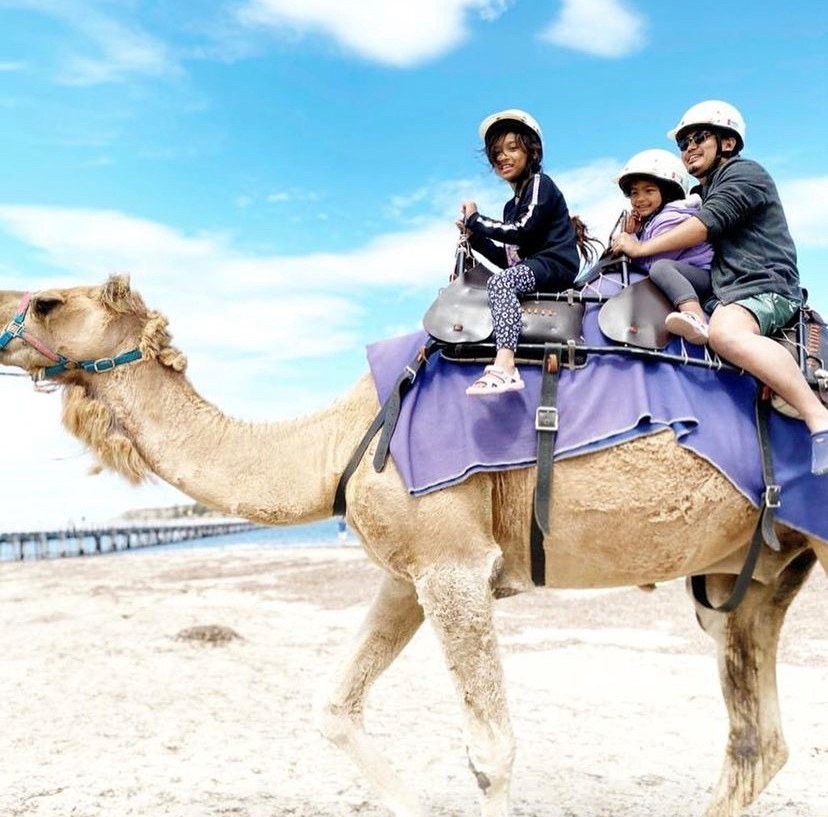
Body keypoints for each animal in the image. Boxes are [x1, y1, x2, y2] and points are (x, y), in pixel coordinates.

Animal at [0, 276, 824, 816]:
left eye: (48, 301)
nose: (2, 311)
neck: (336, 439)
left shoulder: (455, 565)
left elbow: (491, 752)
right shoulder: (410, 573)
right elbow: (334, 705)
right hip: (755, 573)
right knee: (755, 741)